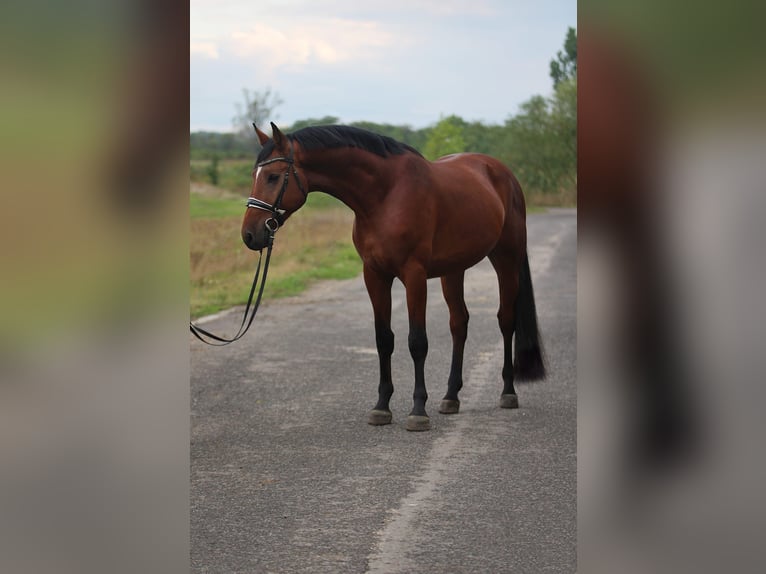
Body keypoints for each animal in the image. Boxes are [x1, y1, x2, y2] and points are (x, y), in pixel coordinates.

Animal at [242, 124, 544, 434]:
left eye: (273, 176)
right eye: (254, 175)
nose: (250, 235)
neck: (385, 196)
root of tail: (502, 173)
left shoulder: (414, 275)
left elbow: (417, 342)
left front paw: (418, 411)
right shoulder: (374, 275)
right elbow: (384, 339)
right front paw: (381, 407)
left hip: (506, 259)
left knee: (506, 321)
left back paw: (508, 391)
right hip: (453, 269)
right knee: (459, 323)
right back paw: (450, 397)